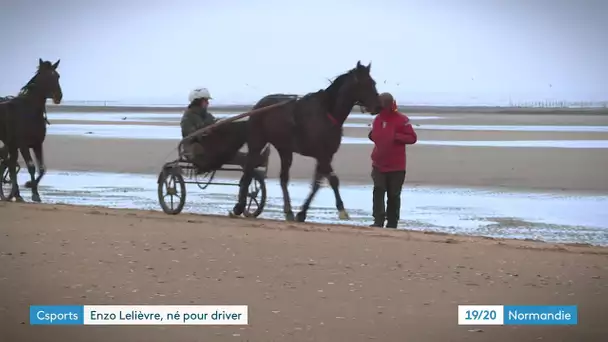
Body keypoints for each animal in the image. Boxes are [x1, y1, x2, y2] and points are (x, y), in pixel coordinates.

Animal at [0, 58, 62, 203]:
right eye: (46, 77)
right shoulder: (22, 145)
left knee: (9, 165)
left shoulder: (37, 144)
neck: (29, 111)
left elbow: (41, 168)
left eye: (57, 76)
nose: (59, 96)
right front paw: (33, 192)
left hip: (10, 146)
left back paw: (14, 195)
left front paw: (31, 189)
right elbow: (31, 167)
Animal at [232, 60, 380, 222]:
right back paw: (239, 206)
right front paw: (342, 210)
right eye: (365, 84)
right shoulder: (322, 155)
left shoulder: (326, 156)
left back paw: (288, 211)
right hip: (257, 143)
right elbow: (334, 180)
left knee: (283, 178)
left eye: (373, 82)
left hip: (285, 149)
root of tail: (259, 105)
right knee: (248, 170)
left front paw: (302, 213)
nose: (378, 106)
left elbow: (317, 184)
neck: (327, 114)